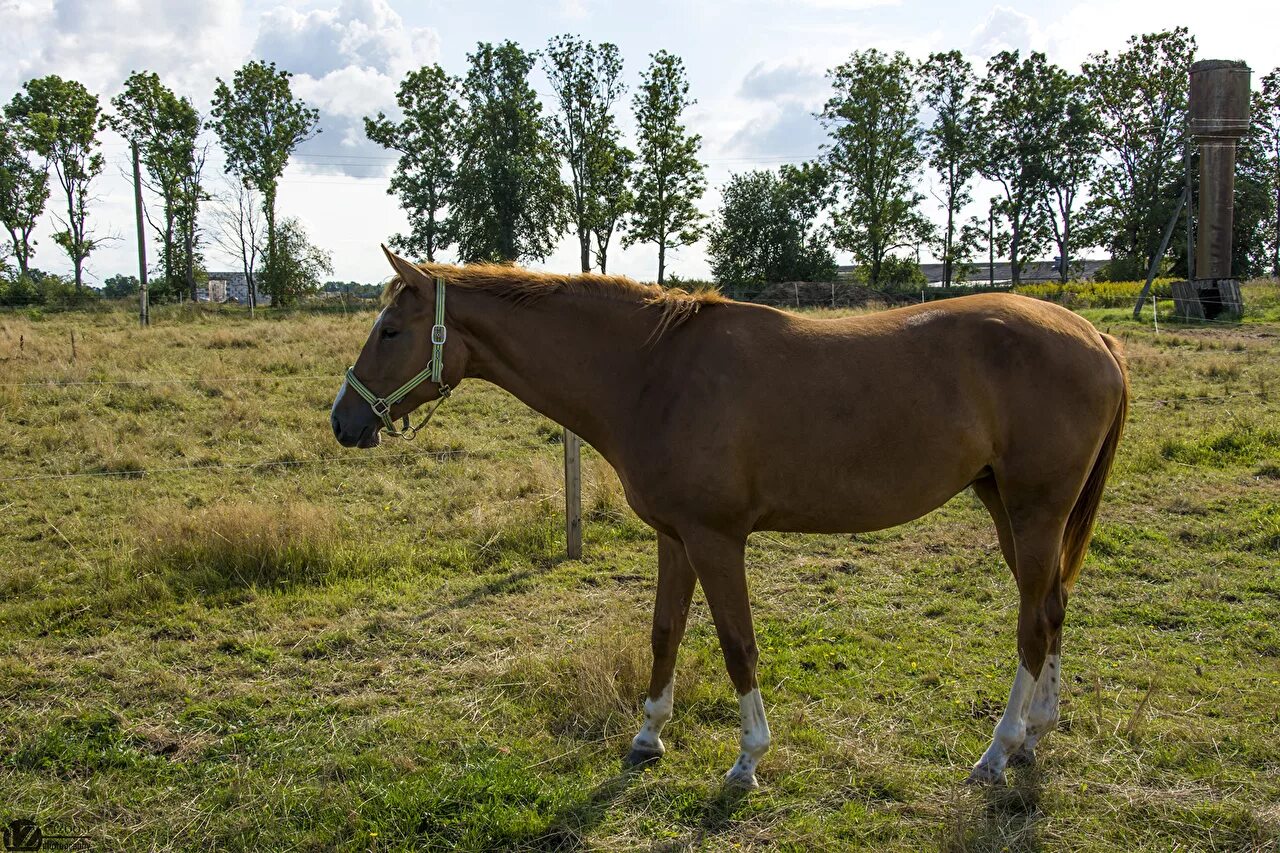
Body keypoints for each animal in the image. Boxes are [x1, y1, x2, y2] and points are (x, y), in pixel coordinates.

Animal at [332, 249, 1131, 788]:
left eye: (390, 330)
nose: (343, 422)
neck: (652, 373)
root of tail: (1095, 337)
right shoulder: (675, 537)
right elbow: (664, 633)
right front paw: (649, 736)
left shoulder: (717, 541)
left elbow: (735, 643)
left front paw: (748, 758)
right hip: (1009, 507)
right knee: (1052, 606)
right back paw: (1035, 735)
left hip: (1034, 509)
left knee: (1032, 624)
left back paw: (998, 750)